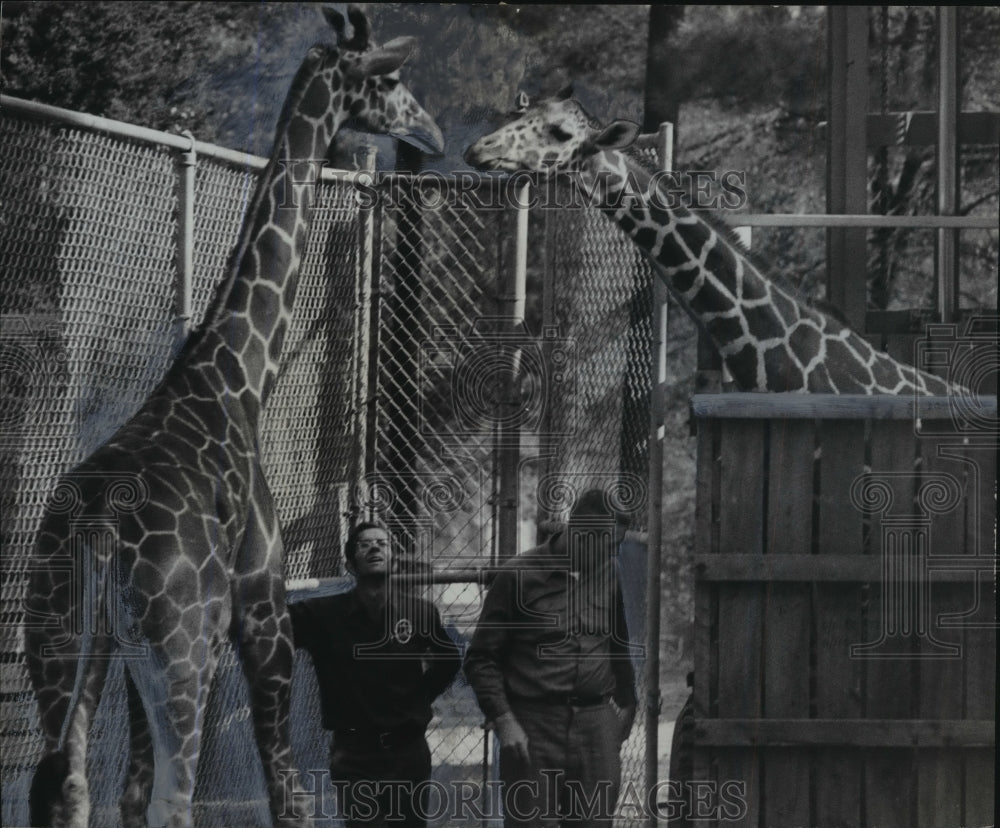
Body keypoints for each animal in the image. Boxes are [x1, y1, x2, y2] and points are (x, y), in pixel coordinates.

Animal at [23, 7, 443, 828]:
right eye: (391, 80)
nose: (432, 132)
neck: (238, 376)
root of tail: (97, 527)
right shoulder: (262, 616)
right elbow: (286, 788)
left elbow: (125, 795)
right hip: (181, 651)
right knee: (176, 797)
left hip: (62, 646)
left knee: (67, 786)